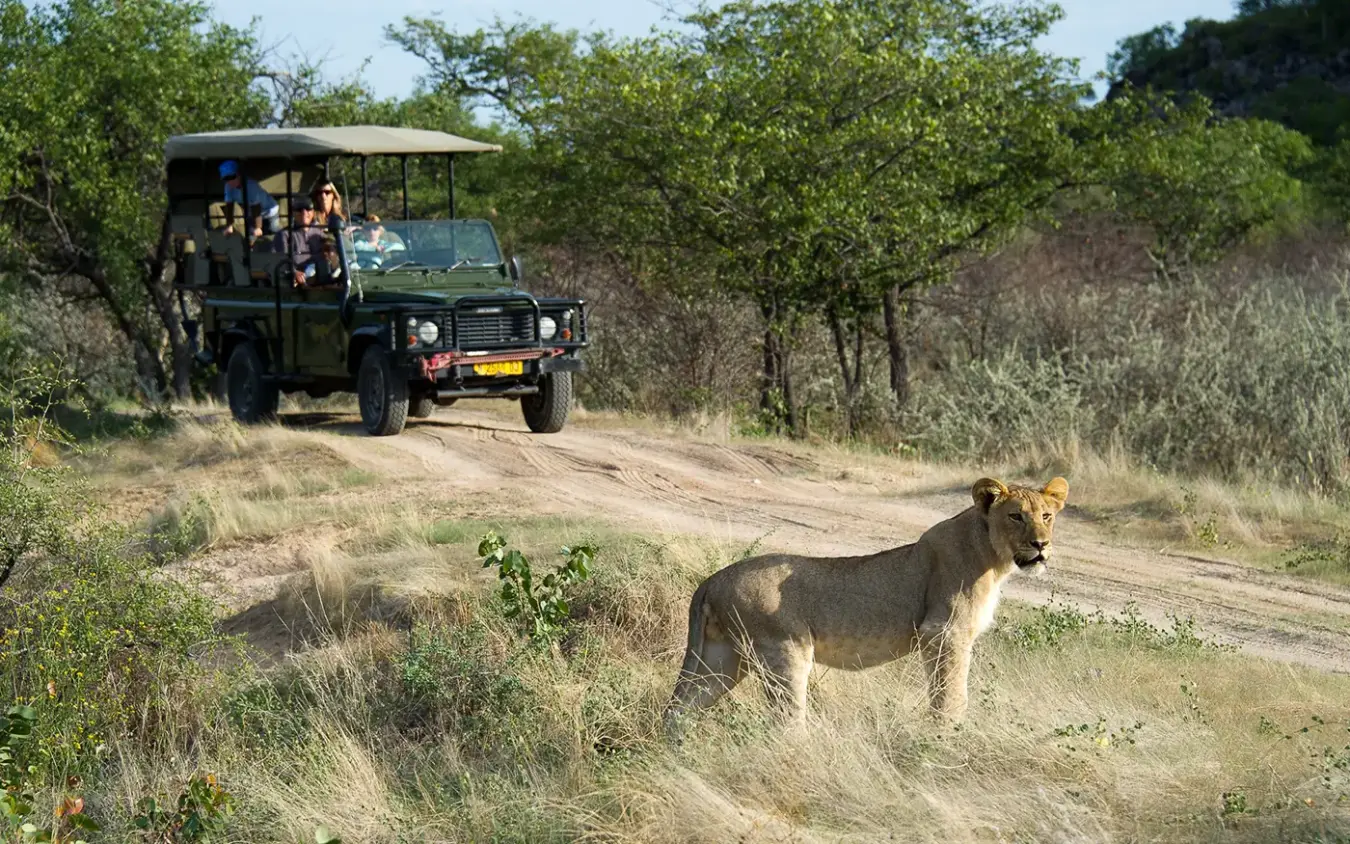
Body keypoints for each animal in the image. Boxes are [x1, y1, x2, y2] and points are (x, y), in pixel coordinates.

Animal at [663, 475, 1068, 737]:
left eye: (1046, 516)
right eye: (1016, 516)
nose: (1041, 544)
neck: (992, 553)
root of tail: (712, 580)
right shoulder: (944, 633)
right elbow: (951, 695)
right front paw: (948, 739)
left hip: (721, 658)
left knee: (679, 708)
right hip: (784, 653)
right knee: (785, 723)